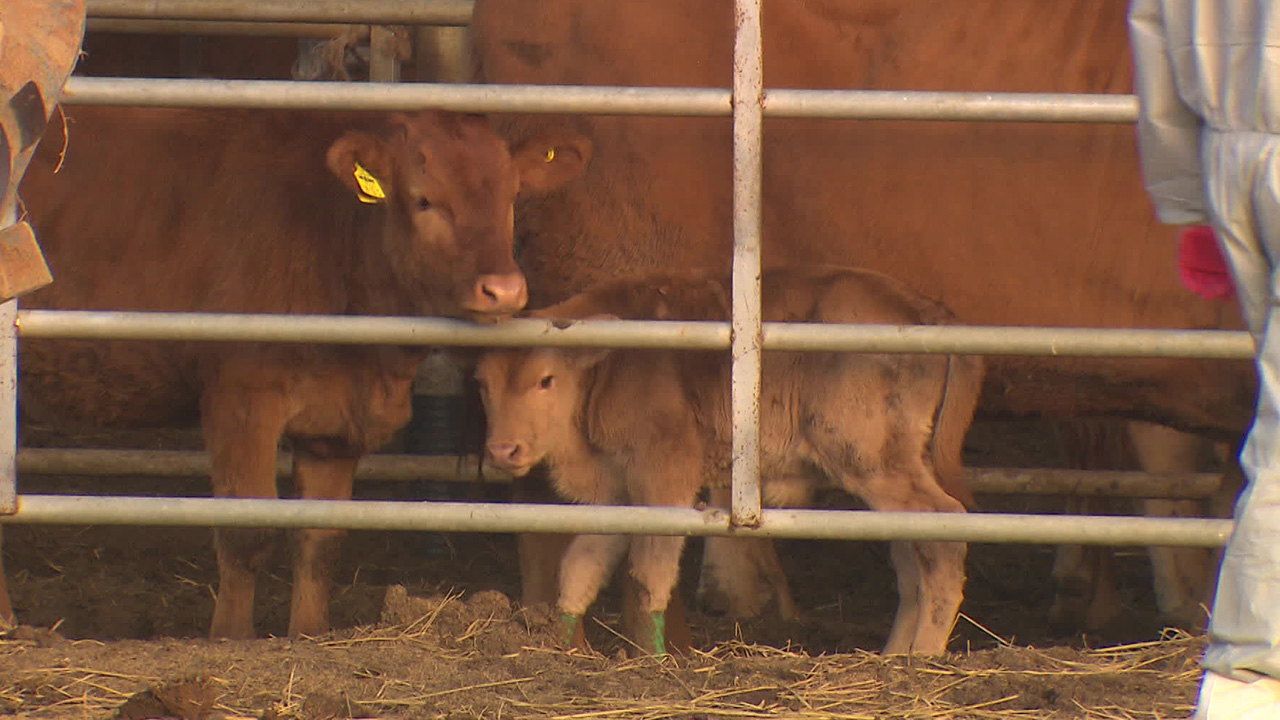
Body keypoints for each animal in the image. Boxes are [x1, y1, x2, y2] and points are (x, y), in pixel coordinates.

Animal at [12, 105, 591, 632]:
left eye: (512, 196)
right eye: (424, 199)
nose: (504, 290)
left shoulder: (334, 426)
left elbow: (319, 536)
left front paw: (307, 635)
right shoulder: (241, 398)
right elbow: (246, 530)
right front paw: (231, 640)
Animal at [476, 265, 983, 655]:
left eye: (546, 379)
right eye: (484, 384)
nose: (503, 451)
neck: (607, 367)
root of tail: (925, 311)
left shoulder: (665, 481)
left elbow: (650, 573)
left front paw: (653, 658)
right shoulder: (618, 494)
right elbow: (581, 567)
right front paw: (561, 646)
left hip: (874, 464)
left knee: (942, 533)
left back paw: (923, 656)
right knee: (912, 554)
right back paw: (893, 657)